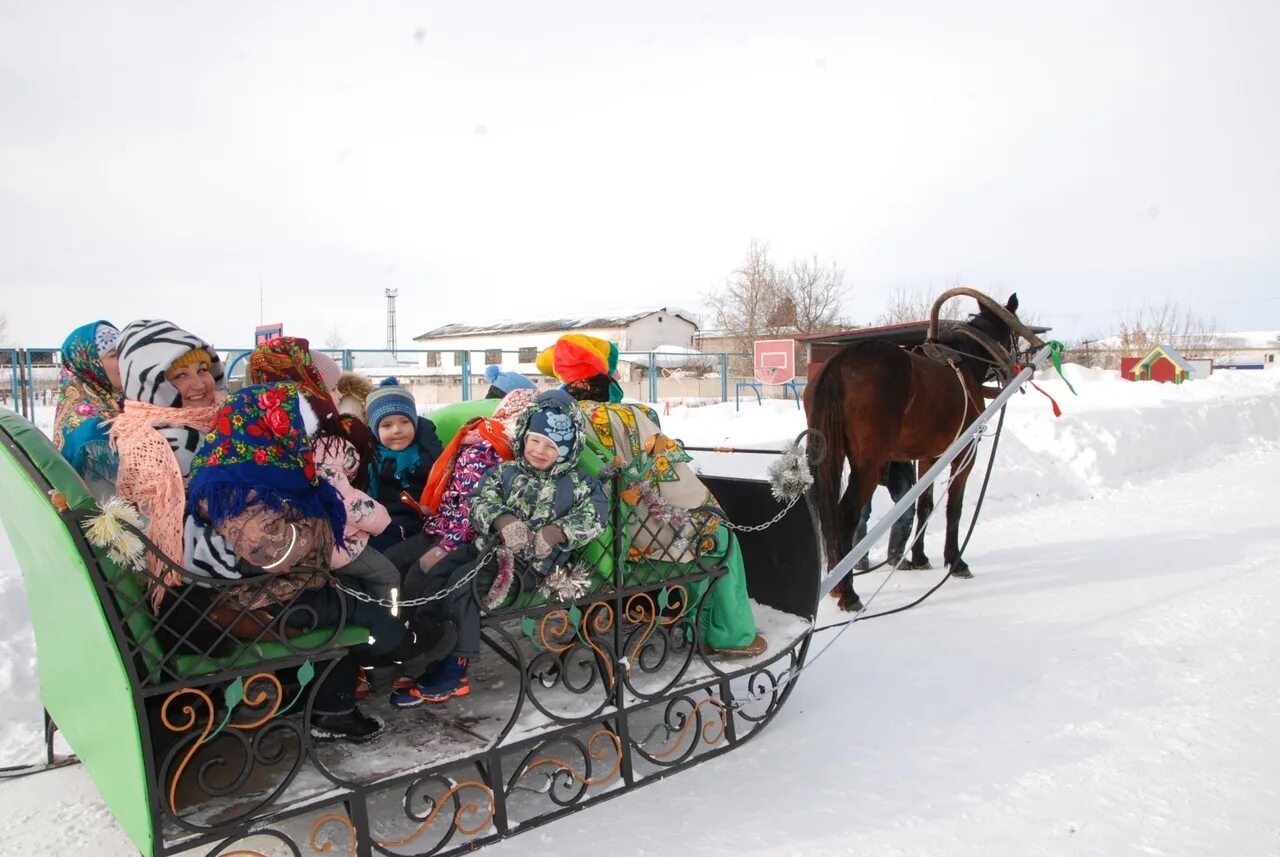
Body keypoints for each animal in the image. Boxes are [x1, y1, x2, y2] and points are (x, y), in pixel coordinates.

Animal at [808, 291, 1039, 613]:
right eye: (1013, 333)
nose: (1017, 364)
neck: (966, 361)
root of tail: (840, 362)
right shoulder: (963, 452)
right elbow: (954, 507)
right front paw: (955, 561)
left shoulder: (929, 456)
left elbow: (924, 504)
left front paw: (920, 557)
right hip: (868, 466)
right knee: (845, 516)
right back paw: (847, 591)